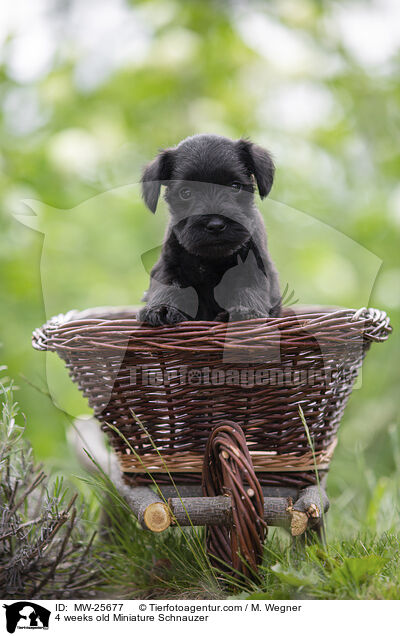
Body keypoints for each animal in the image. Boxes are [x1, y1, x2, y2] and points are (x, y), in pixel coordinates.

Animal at [138, 132, 282, 326]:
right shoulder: (168, 266)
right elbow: (167, 287)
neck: (212, 259)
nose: (215, 225)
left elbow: (249, 288)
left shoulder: (254, 265)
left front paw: (245, 312)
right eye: (186, 193)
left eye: (235, 186)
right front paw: (161, 308)